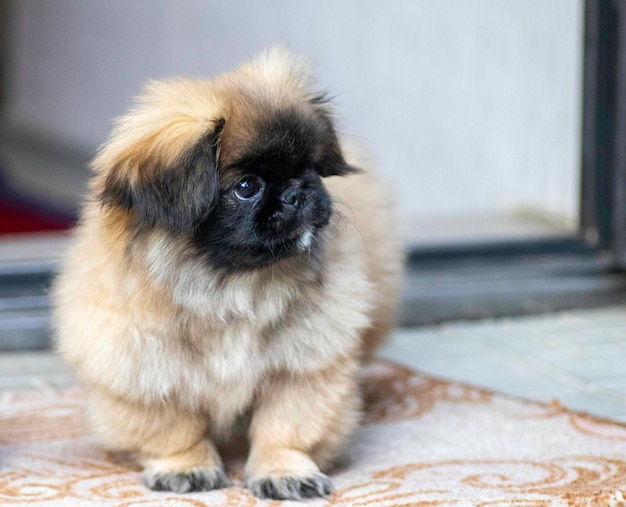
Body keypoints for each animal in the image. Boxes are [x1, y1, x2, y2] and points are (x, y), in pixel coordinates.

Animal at [52, 49, 400, 502]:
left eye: (309, 168)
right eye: (247, 187)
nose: (298, 192)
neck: (233, 285)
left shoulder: (304, 366)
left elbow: (285, 429)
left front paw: (284, 472)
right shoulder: (143, 372)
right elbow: (174, 431)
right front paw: (186, 467)